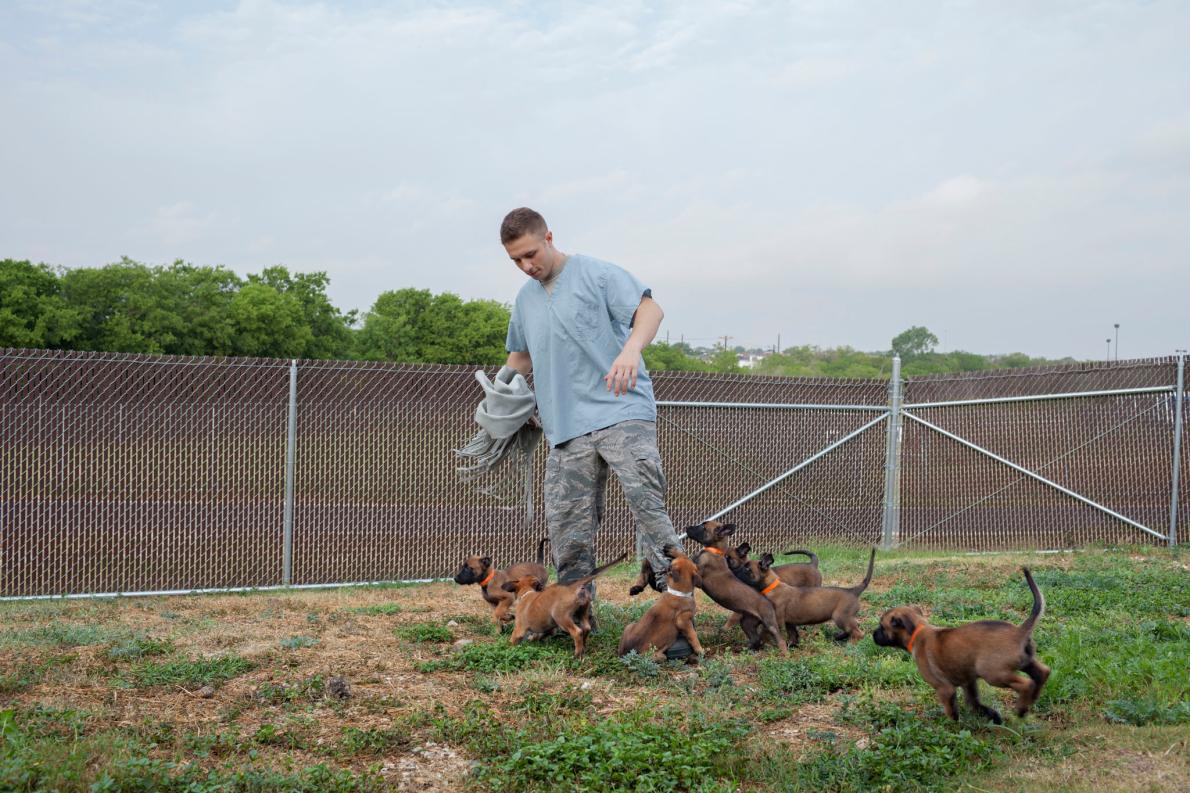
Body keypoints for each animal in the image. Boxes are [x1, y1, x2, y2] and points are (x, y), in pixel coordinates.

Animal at [502, 550, 633, 652]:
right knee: (586, 628)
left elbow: (512, 640)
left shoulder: (518, 630)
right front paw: (533, 640)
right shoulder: (549, 629)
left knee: (577, 632)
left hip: (561, 617)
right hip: (582, 611)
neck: (527, 593)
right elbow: (539, 635)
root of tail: (574, 585)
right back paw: (583, 647)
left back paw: (577, 655)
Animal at [685, 516, 785, 652]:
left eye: (703, 527)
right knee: (755, 639)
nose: (686, 527)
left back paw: (784, 653)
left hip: (770, 624)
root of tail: (769, 603)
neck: (714, 551)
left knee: (780, 640)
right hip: (747, 622)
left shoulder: (698, 576)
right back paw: (748, 650)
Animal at [728, 547, 880, 647]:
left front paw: (756, 644)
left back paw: (851, 645)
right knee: (854, 628)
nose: (733, 573)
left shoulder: (777, 620)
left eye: (747, 569)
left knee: (859, 633)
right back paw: (839, 637)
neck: (771, 586)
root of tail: (853, 590)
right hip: (845, 618)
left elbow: (763, 633)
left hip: (841, 617)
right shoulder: (789, 622)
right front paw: (792, 645)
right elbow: (793, 634)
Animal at [871, 562, 1047, 723]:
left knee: (1026, 684)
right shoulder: (968, 683)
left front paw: (951, 727)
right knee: (1043, 672)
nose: (873, 635)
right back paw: (1032, 699)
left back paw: (1022, 709)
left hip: (993, 672)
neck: (917, 632)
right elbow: (976, 704)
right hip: (1026, 661)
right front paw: (993, 716)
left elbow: (951, 711)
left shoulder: (944, 688)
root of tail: (1020, 631)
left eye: (882, 627)